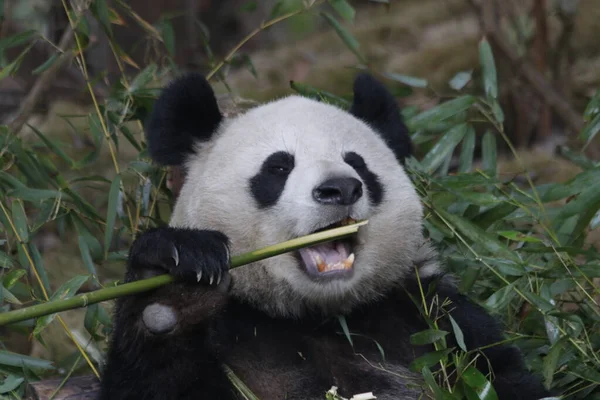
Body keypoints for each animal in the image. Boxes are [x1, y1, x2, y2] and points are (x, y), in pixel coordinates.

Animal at [99, 72, 552, 400]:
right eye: (279, 167)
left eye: (358, 163)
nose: (341, 188)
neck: (319, 316)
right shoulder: (232, 339)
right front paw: (174, 294)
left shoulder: (431, 320)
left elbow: (503, 375)